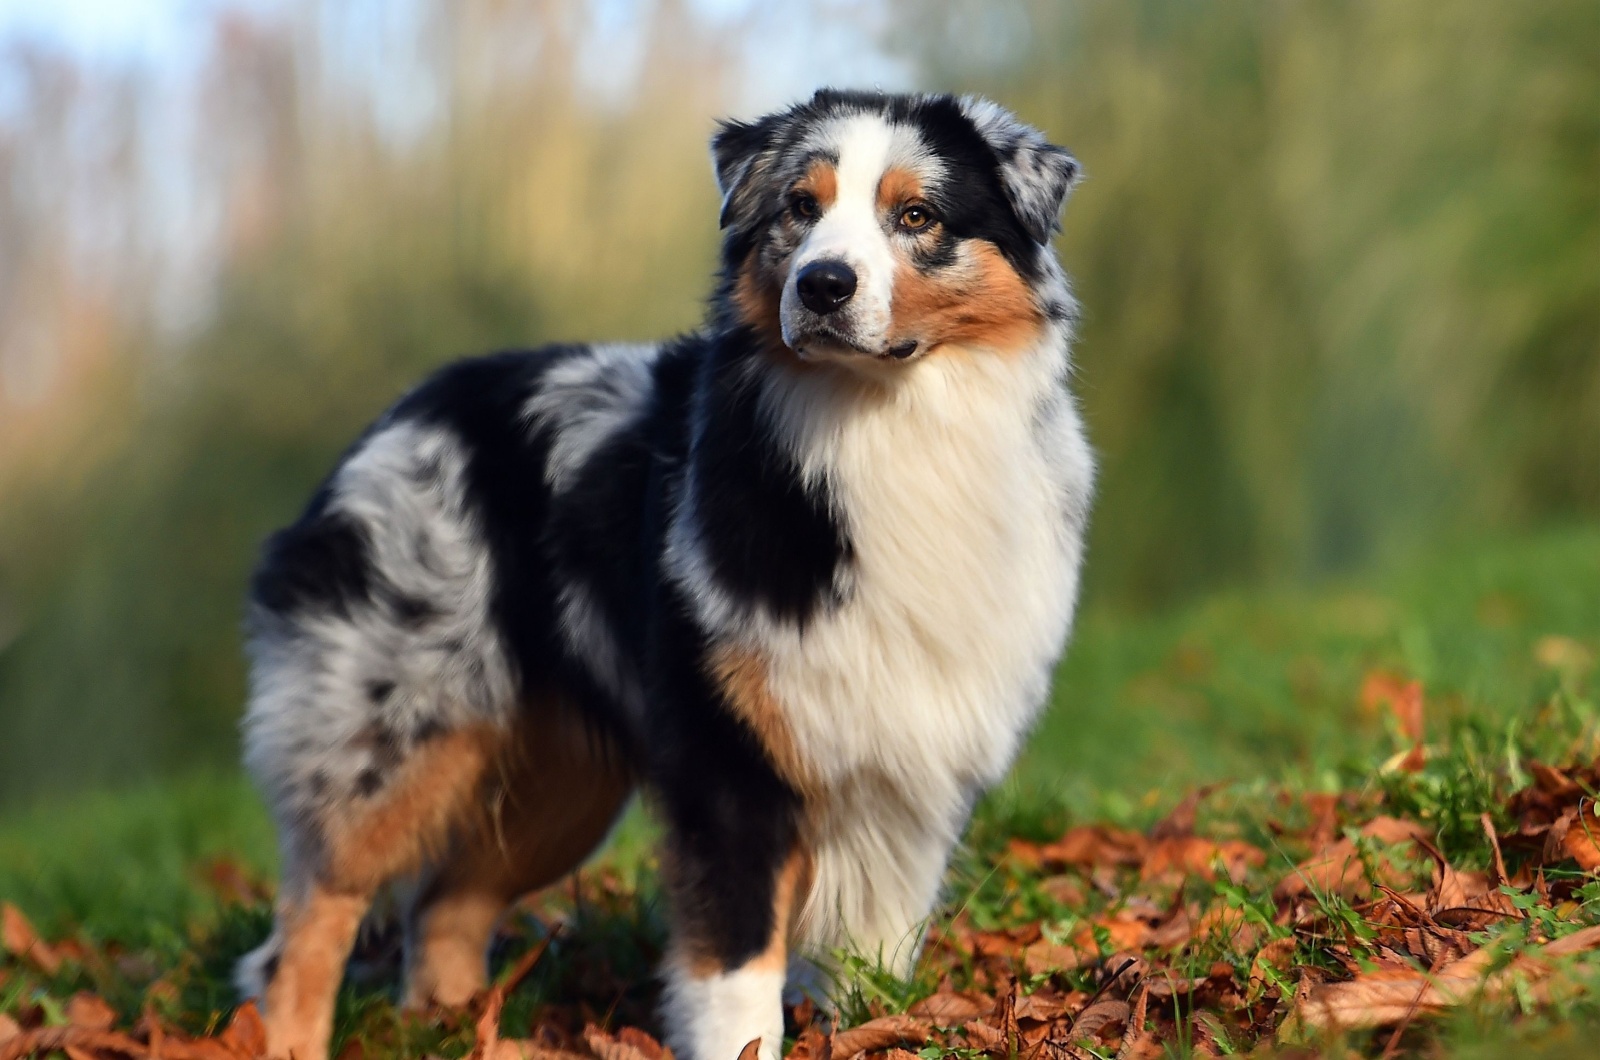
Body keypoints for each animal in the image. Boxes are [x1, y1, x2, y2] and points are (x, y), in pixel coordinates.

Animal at [236, 89, 1094, 1060]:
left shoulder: (912, 770)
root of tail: (395, 417)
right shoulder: (729, 762)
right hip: (391, 734)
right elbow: (736, 975)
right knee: (311, 922)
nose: (823, 285)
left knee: (445, 907)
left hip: (559, 786)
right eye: (800, 207)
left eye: (916, 215)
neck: (882, 423)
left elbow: (871, 956)